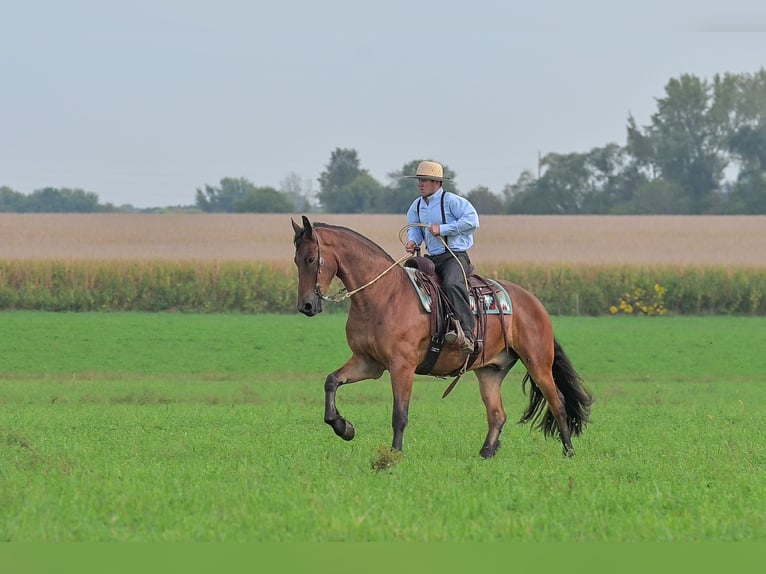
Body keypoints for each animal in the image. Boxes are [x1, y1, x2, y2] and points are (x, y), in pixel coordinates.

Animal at [291, 215, 592, 458]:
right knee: (497, 415)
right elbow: (331, 381)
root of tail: (534, 303)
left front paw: (394, 454)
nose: (306, 306)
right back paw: (485, 454)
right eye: (296, 260)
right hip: (490, 371)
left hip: (538, 363)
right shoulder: (369, 363)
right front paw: (344, 427)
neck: (383, 295)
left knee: (558, 404)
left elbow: (399, 414)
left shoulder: (402, 366)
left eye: (310, 259)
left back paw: (569, 452)